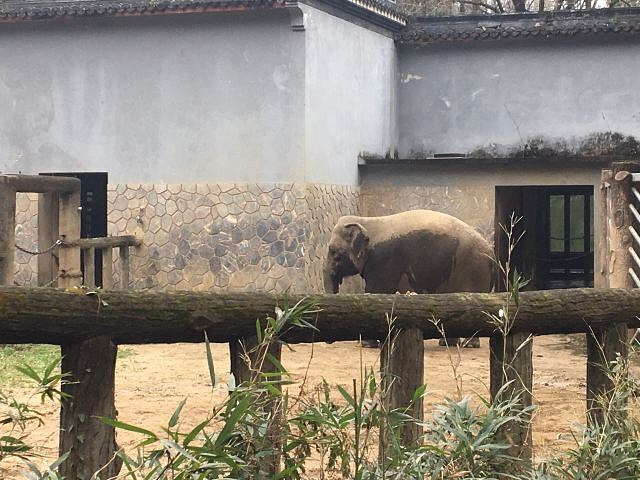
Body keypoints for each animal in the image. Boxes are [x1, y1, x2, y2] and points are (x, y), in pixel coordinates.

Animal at [324, 208, 496, 346]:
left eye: (333, 252)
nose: (330, 340)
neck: (367, 221)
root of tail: (491, 252)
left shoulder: (384, 259)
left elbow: (377, 291)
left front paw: (367, 345)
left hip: (474, 269)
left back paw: (468, 345)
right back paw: (448, 344)